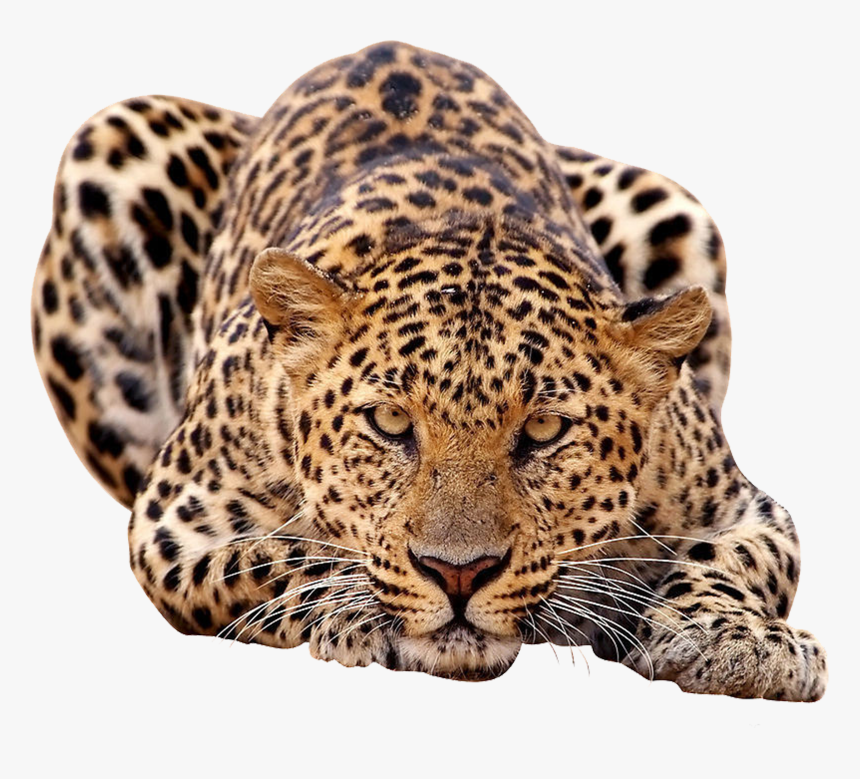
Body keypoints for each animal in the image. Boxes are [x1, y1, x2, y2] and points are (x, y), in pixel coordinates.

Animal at [31, 41, 827, 699]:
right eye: (389, 422)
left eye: (544, 430)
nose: (459, 572)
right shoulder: (174, 518)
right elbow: (273, 556)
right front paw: (357, 608)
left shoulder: (741, 507)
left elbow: (735, 563)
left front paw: (740, 640)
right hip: (114, 143)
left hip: (671, 204)